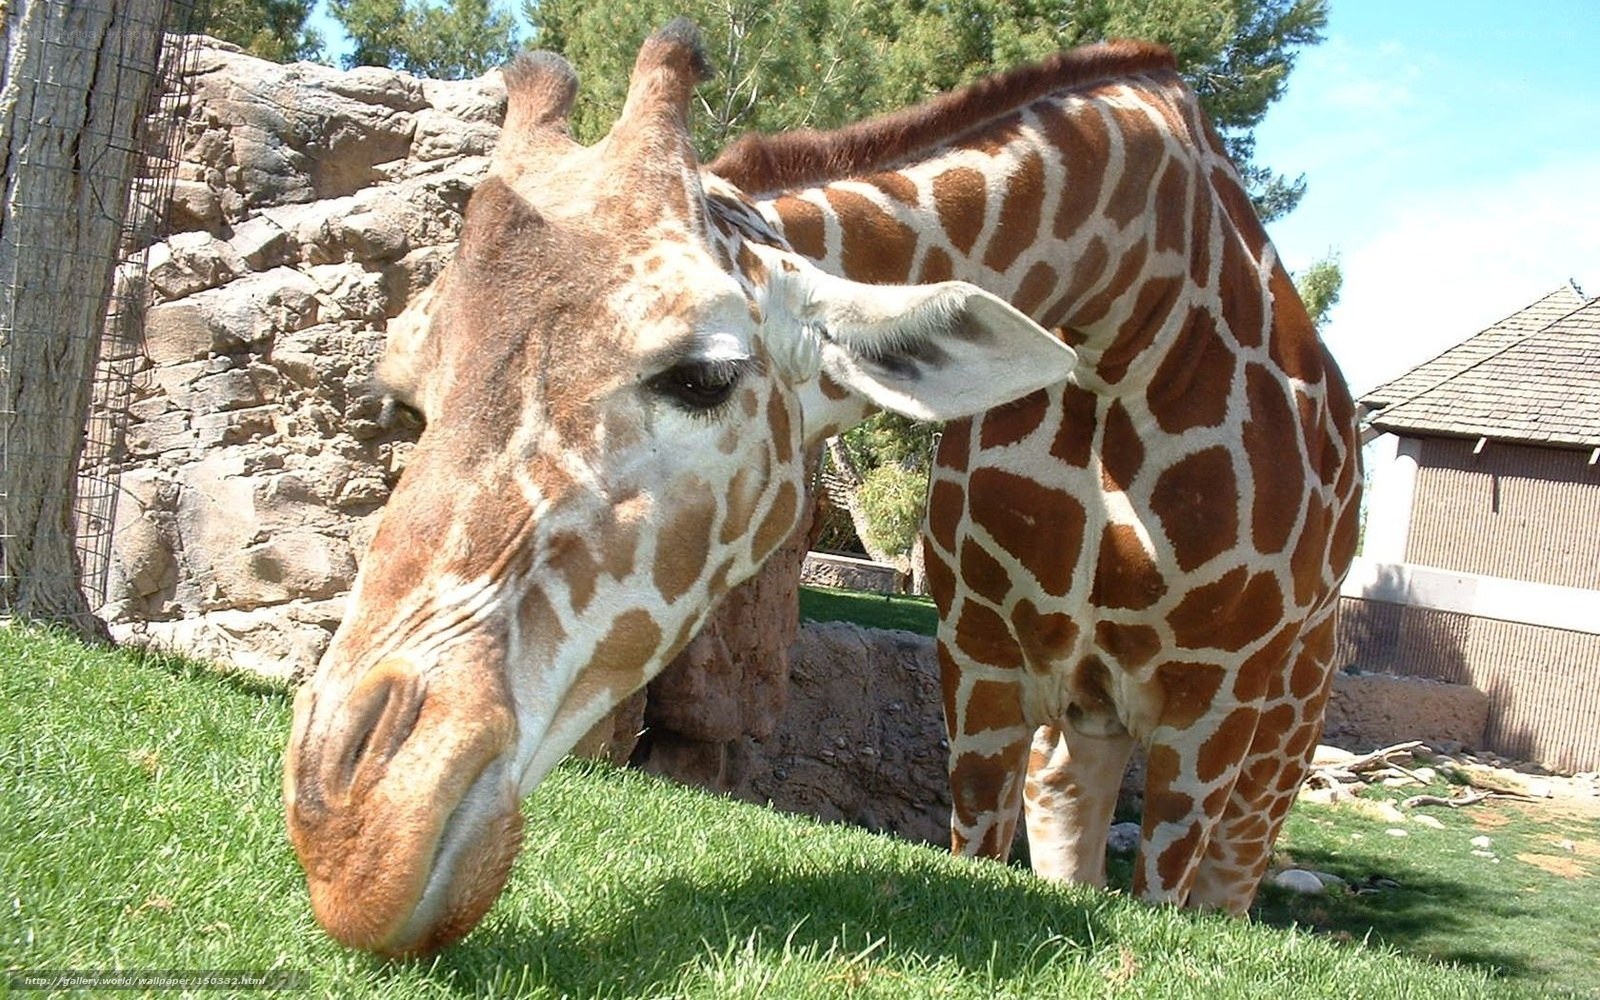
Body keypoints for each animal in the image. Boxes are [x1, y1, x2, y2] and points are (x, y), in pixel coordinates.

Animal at [283, 20, 1359, 956]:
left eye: (702, 376)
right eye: (404, 395)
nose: (353, 840)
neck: (1128, 317)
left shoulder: (1202, 714)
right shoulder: (981, 668)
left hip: (1271, 752)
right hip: (1079, 740)